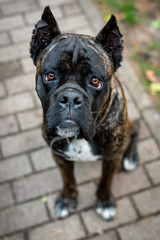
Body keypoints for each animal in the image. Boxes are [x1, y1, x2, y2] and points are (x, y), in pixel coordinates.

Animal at [30, 5, 139, 220]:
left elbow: (106, 181)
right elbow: (68, 180)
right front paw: (67, 200)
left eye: (95, 81)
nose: (71, 98)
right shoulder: (59, 156)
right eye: (50, 76)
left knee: (135, 131)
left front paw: (104, 202)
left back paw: (130, 157)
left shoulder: (112, 158)